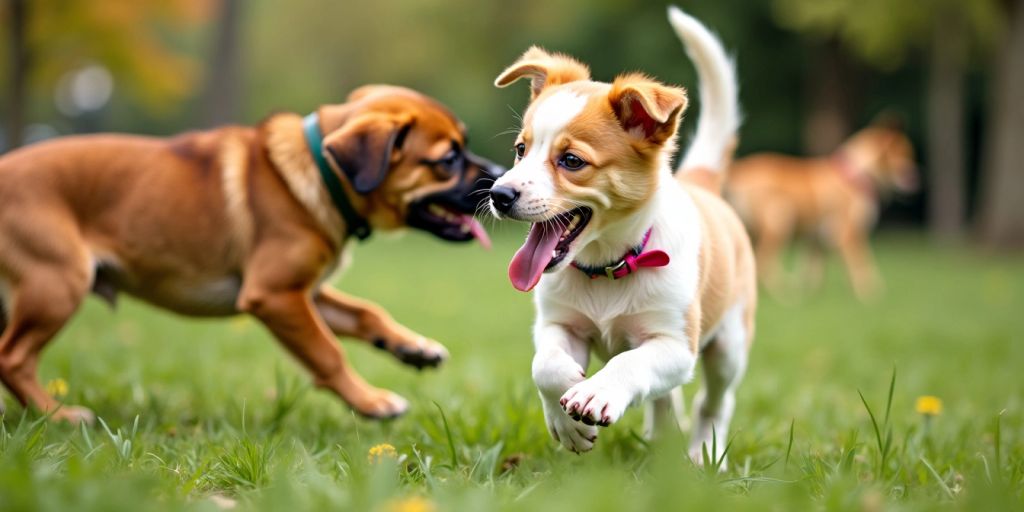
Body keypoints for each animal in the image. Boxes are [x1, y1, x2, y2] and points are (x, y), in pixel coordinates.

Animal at [0, 82, 503, 419]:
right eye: (448, 159)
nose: (499, 175)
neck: (321, 174)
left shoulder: (305, 293)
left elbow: (366, 313)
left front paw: (413, 348)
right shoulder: (276, 296)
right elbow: (327, 353)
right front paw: (371, 402)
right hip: (58, 282)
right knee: (13, 358)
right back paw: (58, 416)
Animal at [491, 7, 757, 460]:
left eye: (571, 160)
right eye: (520, 150)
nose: (498, 194)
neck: (607, 267)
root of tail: (700, 182)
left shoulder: (675, 345)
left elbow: (630, 362)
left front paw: (596, 393)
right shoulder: (557, 324)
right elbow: (545, 365)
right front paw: (568, 417)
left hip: (729, 346)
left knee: (714, 402)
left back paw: (704, 454)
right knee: (666, 400)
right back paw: (661, 439)